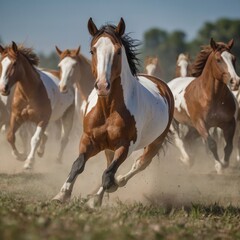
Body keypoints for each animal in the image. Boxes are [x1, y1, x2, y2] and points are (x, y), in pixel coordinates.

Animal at [53, 17, 174, 207]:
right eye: (92, 50)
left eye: (117, 51)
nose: (103, 86)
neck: (108, 109)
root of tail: (161, 85)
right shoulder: (88, 139)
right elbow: (78, 165)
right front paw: (62, 194)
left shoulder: (125, 146)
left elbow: (108, 175)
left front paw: (97, 199)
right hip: (108, 147)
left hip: (155, 143)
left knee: (139, 164)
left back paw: (116, 184)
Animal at [168, 39, 240, 174]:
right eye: (218, 59)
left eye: (234, 58)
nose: (235, 82)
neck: (212, 97)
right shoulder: (201, 124)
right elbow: (211, 144)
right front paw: (218, 166)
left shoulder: (229, 123)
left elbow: (228, 146)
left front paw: (224, 163)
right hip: (175, 124)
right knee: (179, 141)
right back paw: (186, 160)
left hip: (192, 128)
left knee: (188, 139)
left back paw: (191, 159)